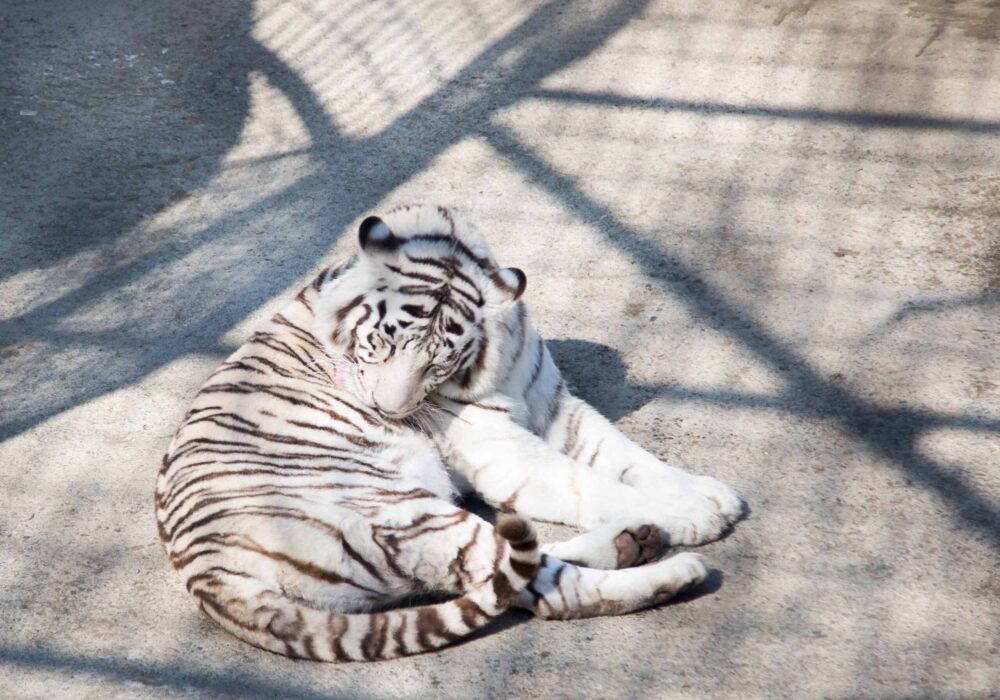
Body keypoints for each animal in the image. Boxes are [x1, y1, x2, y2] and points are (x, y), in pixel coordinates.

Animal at [156, 204, 744, 660]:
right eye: (380, 343)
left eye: (439, 361)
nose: (387, 410)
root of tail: (206, 573)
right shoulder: (503, 452)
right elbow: (590, 483)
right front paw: (694, 515)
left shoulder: (554, 404)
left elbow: (626, 456)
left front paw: (709, 493)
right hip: (408, 514)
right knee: (541, 588)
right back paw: (673, 567)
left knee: (514, 570)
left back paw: (634, 539)